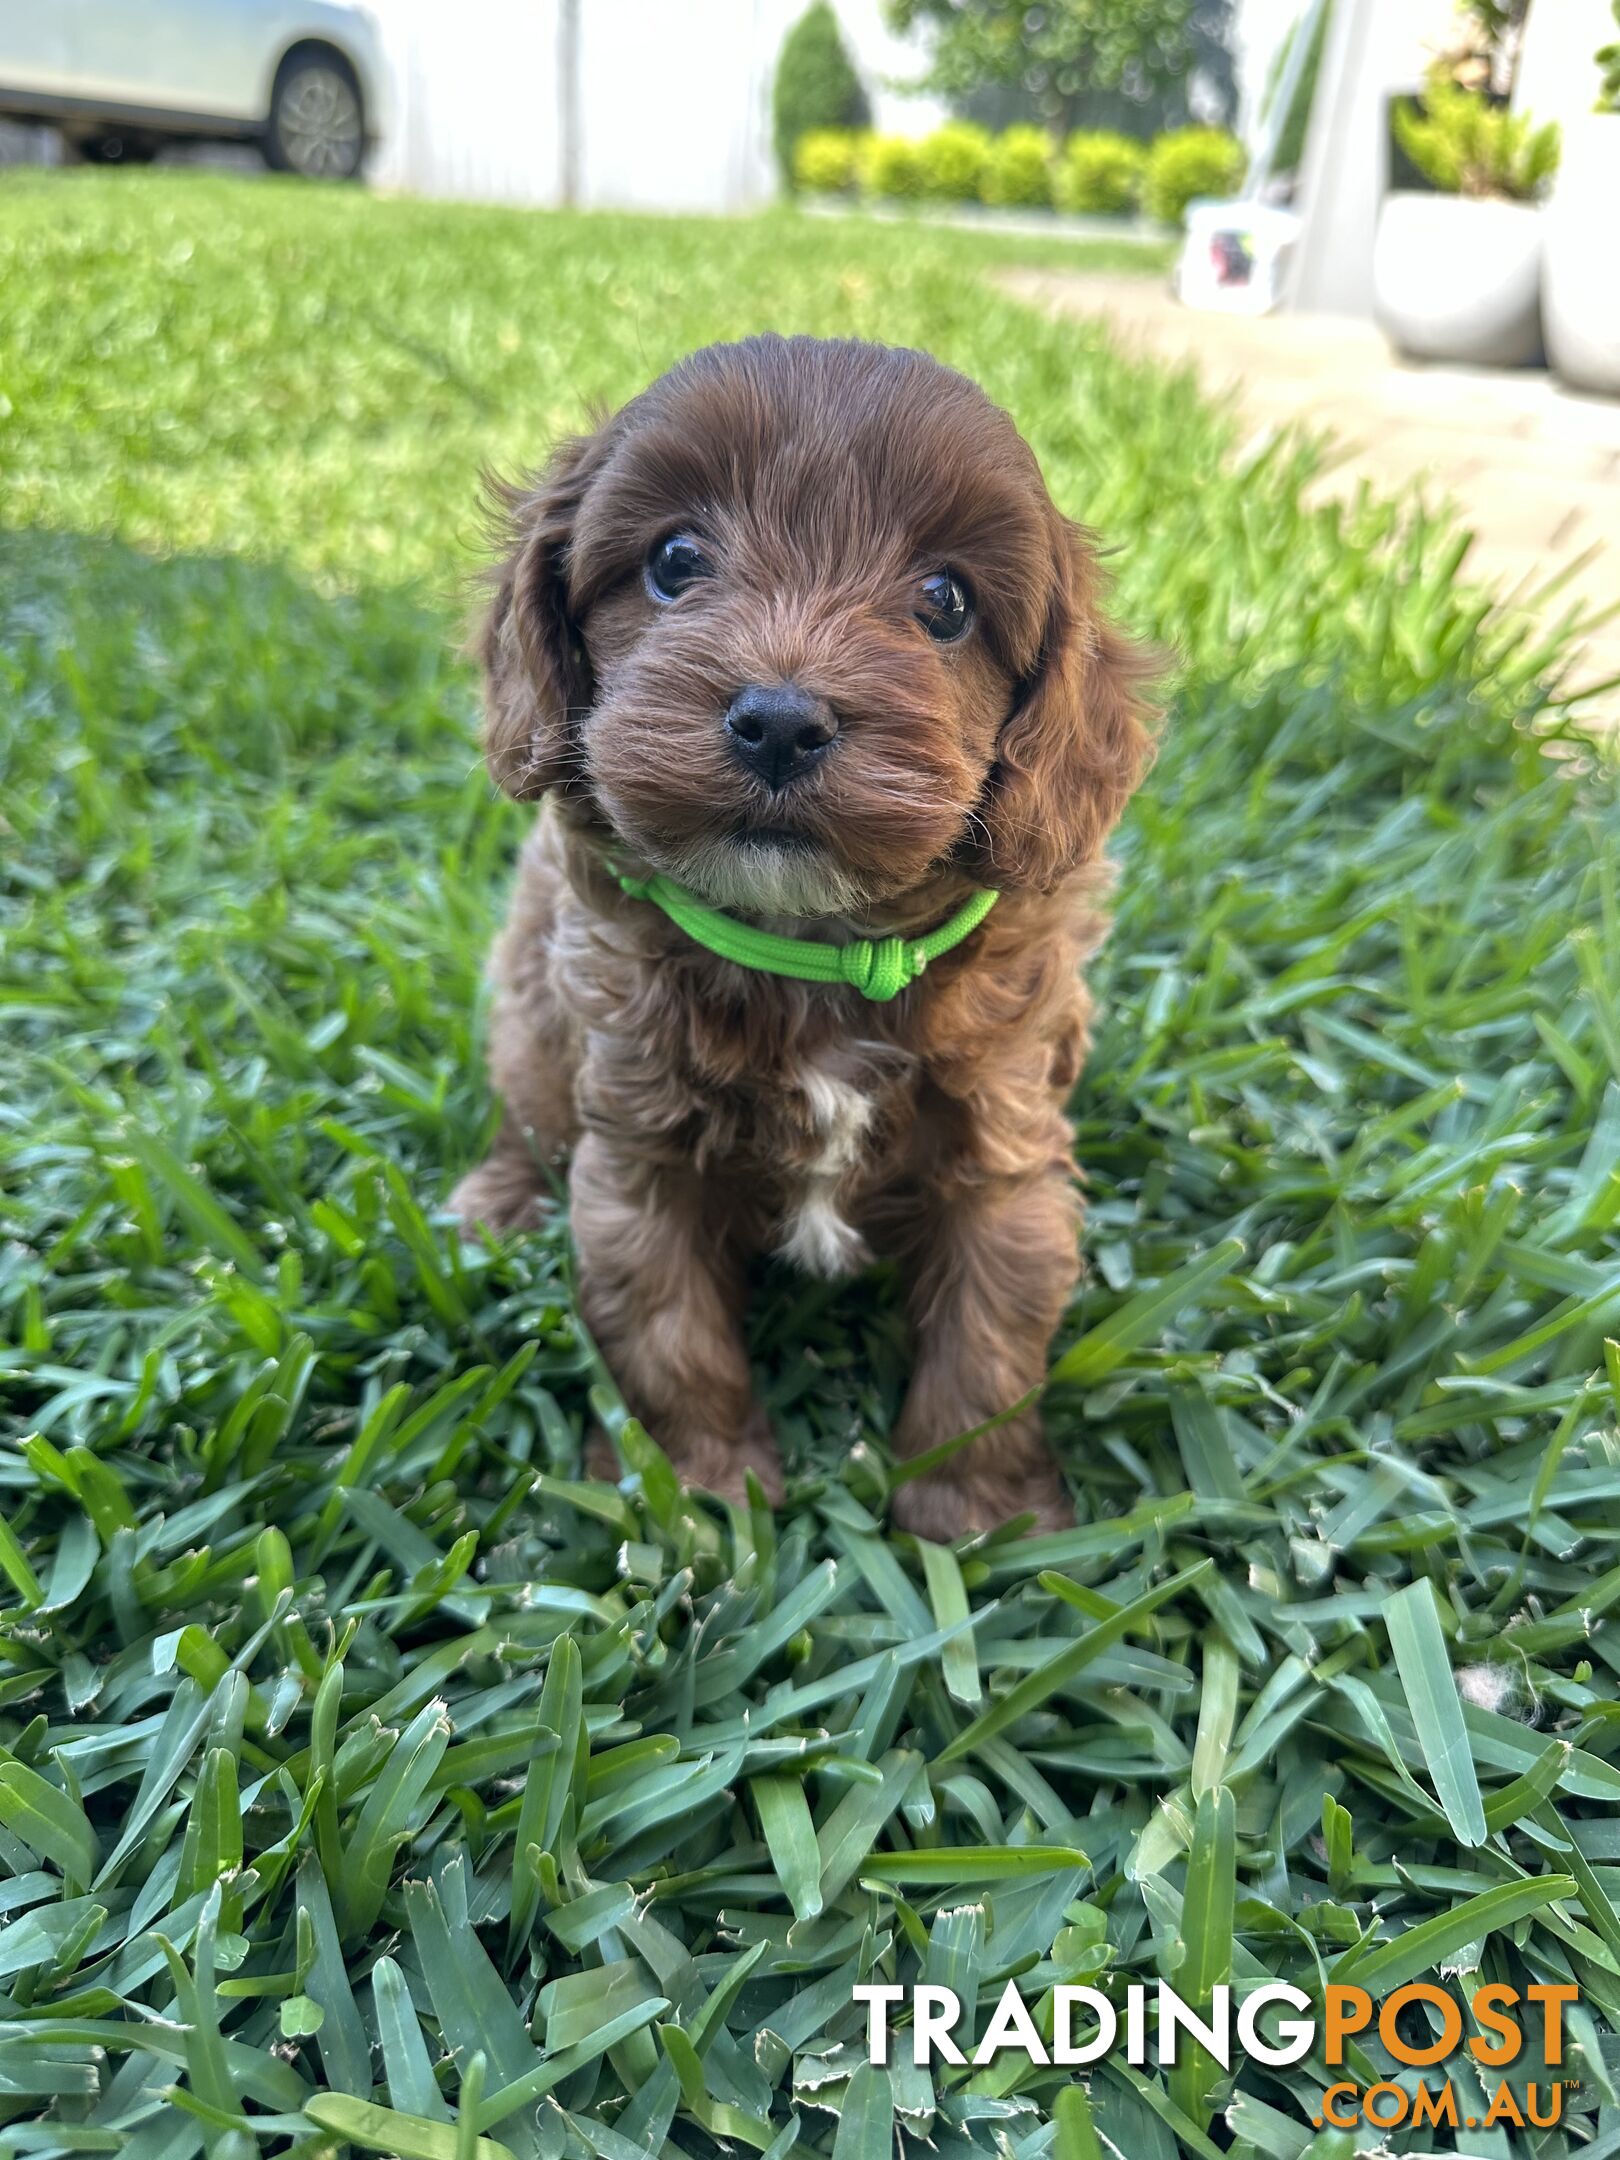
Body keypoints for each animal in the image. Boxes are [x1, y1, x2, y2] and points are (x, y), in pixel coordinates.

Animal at [453, 332, 1157, 1537]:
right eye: (675, 559)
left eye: (946, 602)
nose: (780, 721)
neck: (815, 944)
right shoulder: (639, 1155)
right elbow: (668, 1336)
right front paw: (697, 1497)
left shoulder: (1006, 1150)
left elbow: (990, 1342)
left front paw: (976, 1515)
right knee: (526, 1103)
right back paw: (496, 1201)